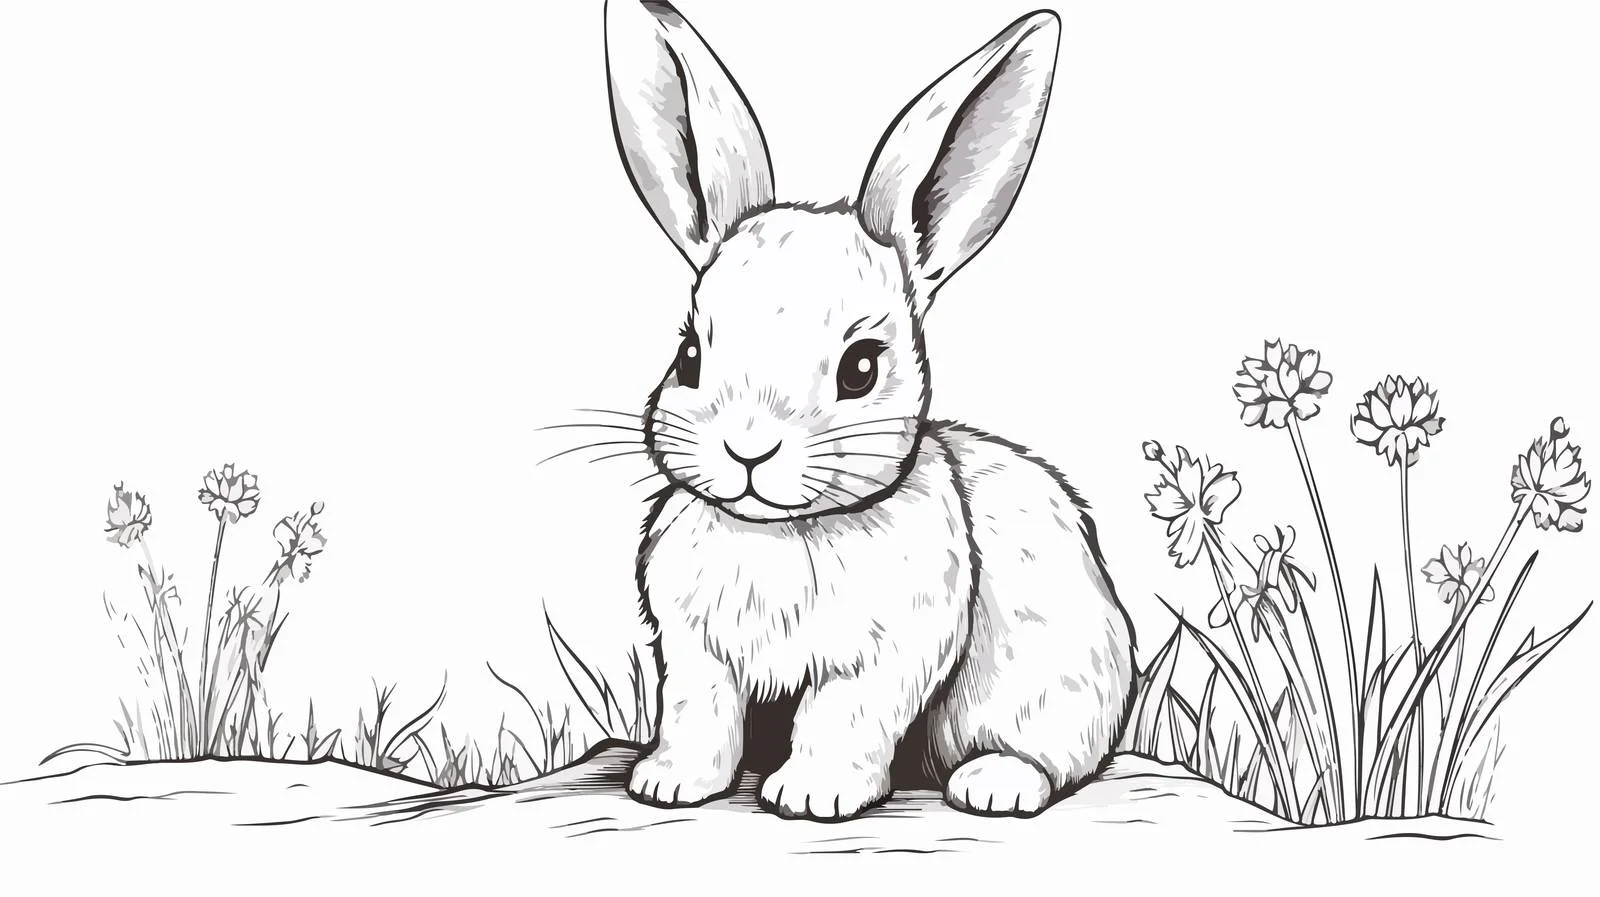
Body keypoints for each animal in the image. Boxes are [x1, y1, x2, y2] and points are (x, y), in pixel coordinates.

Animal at [603, 0, 1135, 820]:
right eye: (689, 354)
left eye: (861, 368)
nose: (748, 448)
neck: (783, 533)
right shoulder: (695, 651)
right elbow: (700, 715)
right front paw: (669, 783)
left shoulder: (886, 654)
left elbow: (843, 715)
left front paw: (812, 797)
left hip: (1057, 687)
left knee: (1052, 756)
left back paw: (995, 785)